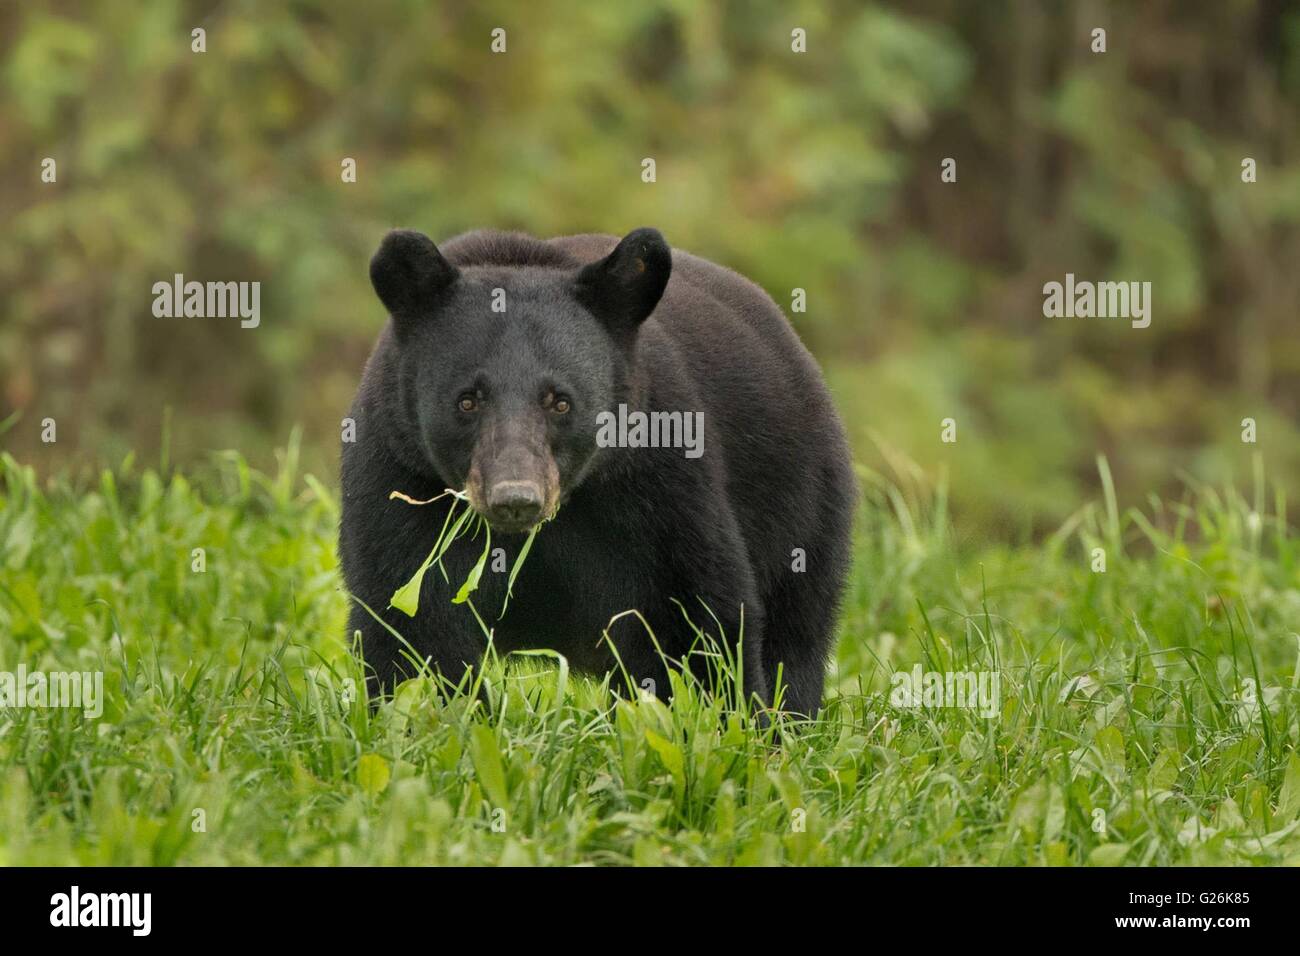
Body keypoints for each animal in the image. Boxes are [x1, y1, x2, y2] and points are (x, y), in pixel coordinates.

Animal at [340, 226, 856, 717]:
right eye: (468, 400)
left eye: (560, 401)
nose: (515, 499)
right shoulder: (400, 475)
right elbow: (413, 621)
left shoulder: (657, 482)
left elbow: (695, 616)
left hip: (803, 503)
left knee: (797, 634)